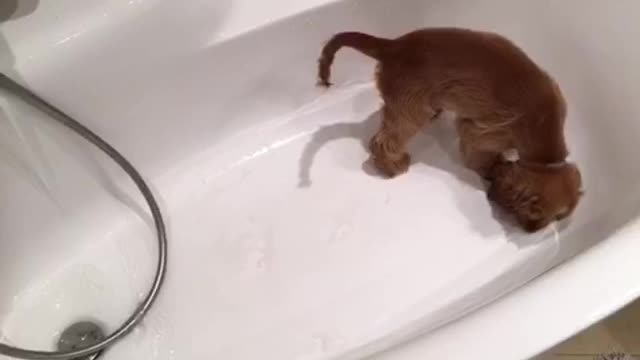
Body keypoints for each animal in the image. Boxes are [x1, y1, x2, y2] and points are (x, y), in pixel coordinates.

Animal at [318, 27, 584, 231]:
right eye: (532, 212)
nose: (530, 231)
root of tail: (393, 46)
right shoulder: (481, 133)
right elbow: (480, 158)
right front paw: (490, 169)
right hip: (410, 110)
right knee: (382, 141)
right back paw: (392, 166)